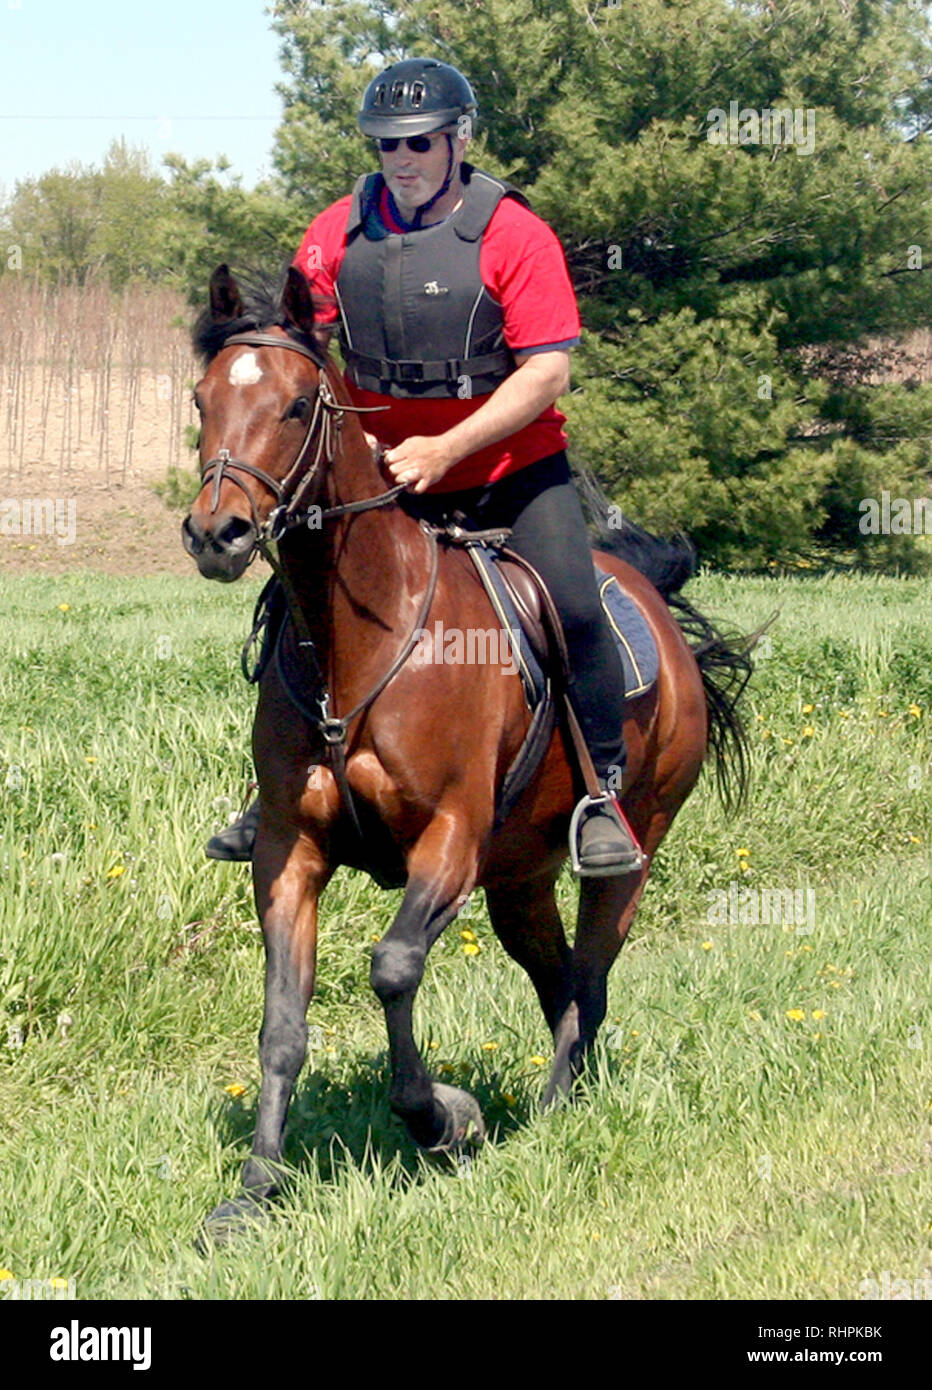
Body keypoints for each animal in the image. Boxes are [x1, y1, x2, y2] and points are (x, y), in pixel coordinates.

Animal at [181, 264, 753, 1242]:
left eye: (297, 405)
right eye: (201, 399)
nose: (217, 534)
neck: (360, 640)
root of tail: (655, 601)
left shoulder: (447, 837)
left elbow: (392, 968)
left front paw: (442, 1117)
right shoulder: (289, 851)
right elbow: (282, 1023)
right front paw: (254, 1192)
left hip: (631, 843)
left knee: (591, 973)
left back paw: (556, 1110)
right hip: (519, 876)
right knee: (558, 979)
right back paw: (563, 1093)